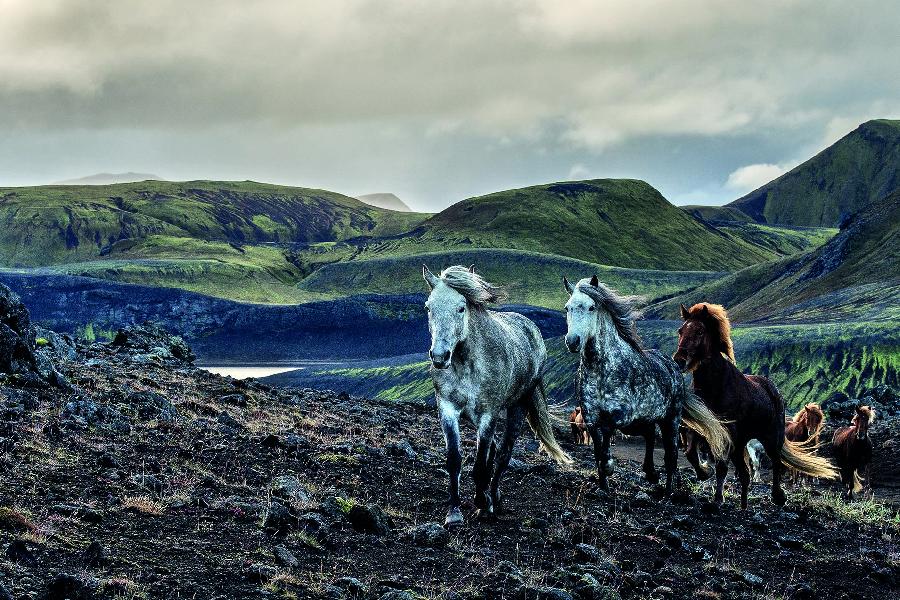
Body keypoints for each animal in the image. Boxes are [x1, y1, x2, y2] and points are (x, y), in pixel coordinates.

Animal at [424, 264, 568, 528]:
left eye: (461, 307)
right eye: (429, 307)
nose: (439, 356)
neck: (466, 364)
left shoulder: (488, 414)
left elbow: (482, 465)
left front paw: (482, 503)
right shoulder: (447, 409)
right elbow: (454, 460)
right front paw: (454, 513)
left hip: (518, 408)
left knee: (502, 454)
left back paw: (492, 498)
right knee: (493, 452)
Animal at [564, 276, 732, 492]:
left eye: (591, 307)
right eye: (567, 308)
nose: (572, 341)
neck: (602, 370)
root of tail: (672, 364)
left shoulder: (621, 415)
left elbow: (607, 437)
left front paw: (609, 467)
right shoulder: (591, 418)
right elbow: (598, 451)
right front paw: (604, 487)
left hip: (671, 420)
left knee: (670, 456)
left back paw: (668, 490)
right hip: (644, 420)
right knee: (650, 436)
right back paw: (651, 473)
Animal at [668, 304, 836, 506]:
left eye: (700, 331)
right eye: (680, 331)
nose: (679, 360)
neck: (716, 385)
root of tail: (772, 388)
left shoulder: (728, 433)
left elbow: (722, 466)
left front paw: (717, 498)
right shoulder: (700, 426)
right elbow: (691, 453)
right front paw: (704, 473)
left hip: (771, 437)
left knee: (776, 462)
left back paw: (778, 496)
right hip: (742, 443)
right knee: (745, 474)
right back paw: (743, 506)